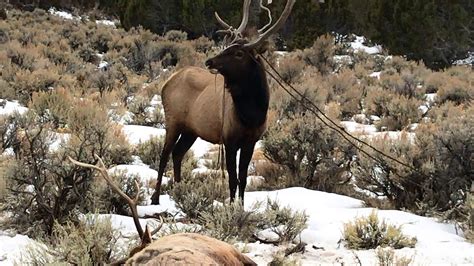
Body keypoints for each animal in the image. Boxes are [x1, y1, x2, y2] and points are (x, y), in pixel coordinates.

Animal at [150, 0, 294, 206]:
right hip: (173, 120)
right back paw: (155, 198)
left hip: (191, 130)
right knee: (164, 155)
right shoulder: (229, 139)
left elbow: (243, 179)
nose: (210, 61)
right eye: (228, 47)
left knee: (177, 153)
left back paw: (180, 191)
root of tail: (166, 82)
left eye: (239, 53)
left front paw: (241, 207)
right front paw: (232, 207)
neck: (251, 115)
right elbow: (232, 179)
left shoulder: (251, 141)